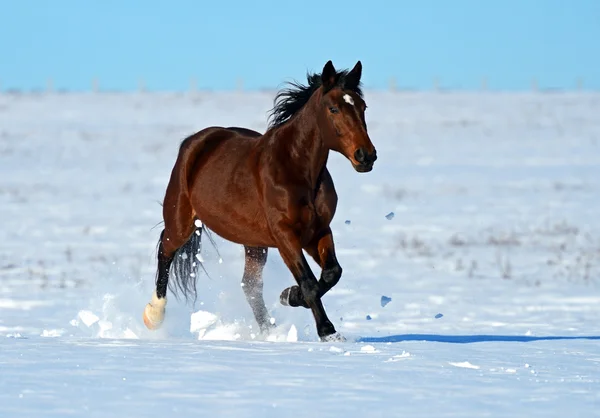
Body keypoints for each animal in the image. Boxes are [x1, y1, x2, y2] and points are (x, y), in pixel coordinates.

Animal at [143, 60, 378, 342]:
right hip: (182, 221)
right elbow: (310, 283)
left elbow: (332, 274)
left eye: (362, 107)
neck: (296, 169)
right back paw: (153, 316)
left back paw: (269, 331)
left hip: (253, 243)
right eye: (333, 108)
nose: (366, 156)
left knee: (250, 286)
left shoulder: (317, 231)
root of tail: (195, 141)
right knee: (166, 252)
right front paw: (327, 331)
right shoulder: (285, 235)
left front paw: (289, 296)